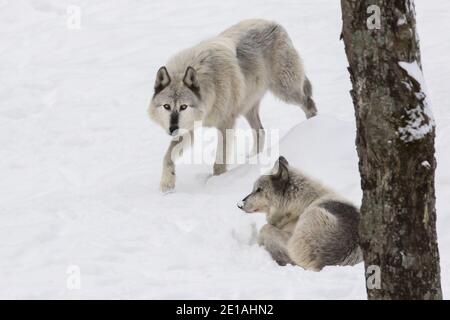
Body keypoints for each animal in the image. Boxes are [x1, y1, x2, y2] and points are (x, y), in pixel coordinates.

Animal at [148, 20, 316, 192]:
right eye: (166, 106)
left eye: (183, 107)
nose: (173, 129)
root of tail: (275, 24)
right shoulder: (189, 127)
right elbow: (168, 157)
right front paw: (167, 184)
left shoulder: (225, 124)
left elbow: (219, 162)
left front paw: (216, 182)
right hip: (248, 108)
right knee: (260, 132)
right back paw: (252, 160)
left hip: (285, 92)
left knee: (309, 104)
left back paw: (313, 125)